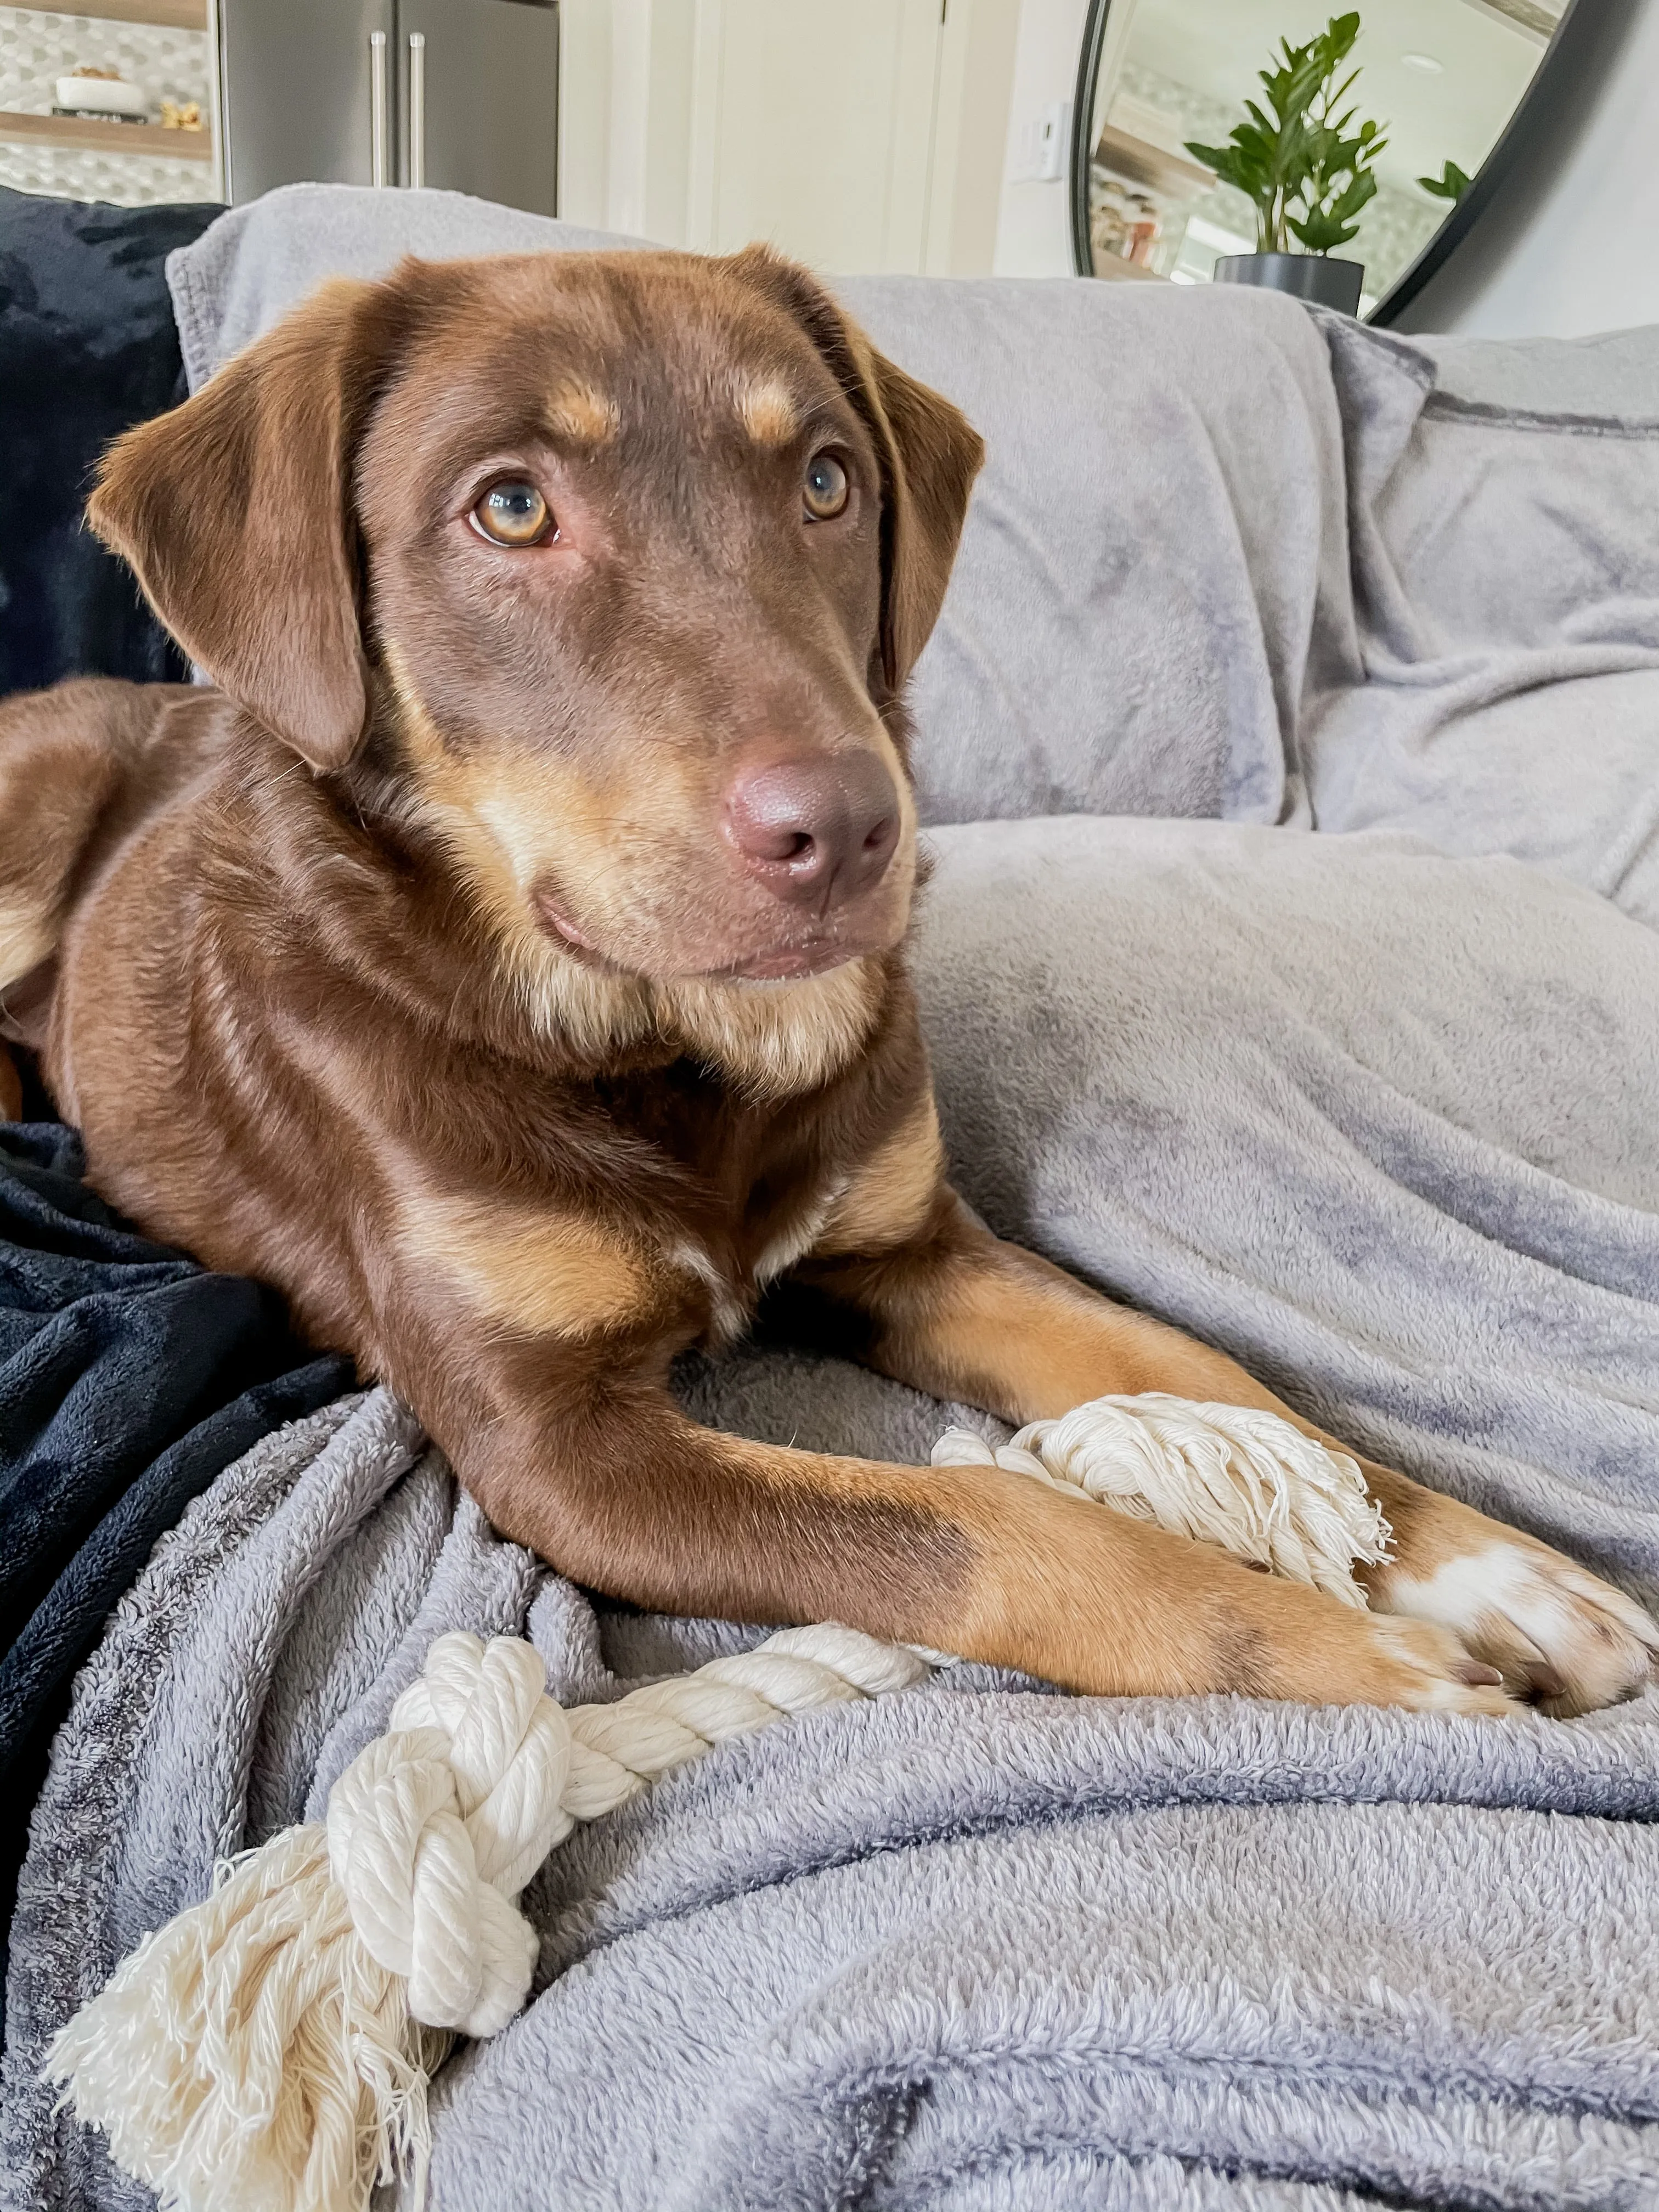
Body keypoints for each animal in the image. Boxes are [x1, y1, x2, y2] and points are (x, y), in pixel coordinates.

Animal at [0, 251, 1654, 1716]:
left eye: (827, 482)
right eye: (511, 507)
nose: (856, 829)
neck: (683, 1046)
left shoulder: (924, 1250)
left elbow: (1216, 1376)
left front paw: (1492, 1572)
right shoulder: (555, 1442)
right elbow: (990, 1528)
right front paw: (1347, 1654)